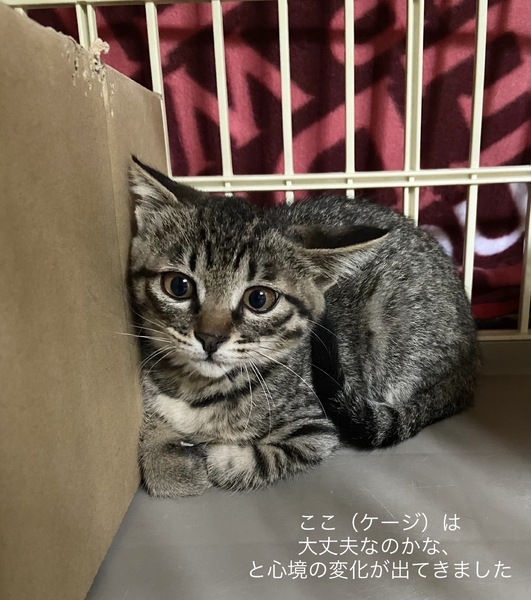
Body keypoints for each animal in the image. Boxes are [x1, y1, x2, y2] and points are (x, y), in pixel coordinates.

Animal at [128, 158, 479, 498]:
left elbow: (255, 459)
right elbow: (153, 435)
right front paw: (170, 461)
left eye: (259, 299)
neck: (197, 388)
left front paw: (209, 458)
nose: (210, 338)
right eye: (178, 286)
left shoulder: (316, 429)